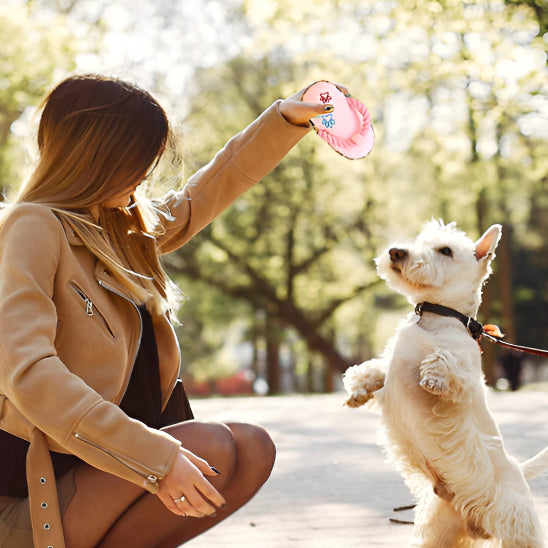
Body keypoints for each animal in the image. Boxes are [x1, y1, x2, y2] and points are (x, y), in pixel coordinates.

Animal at [344, 222, 544, 548]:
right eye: (420, 241)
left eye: (446, 250)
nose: (395, 252)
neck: (434, 315)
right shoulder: (390, 366)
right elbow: (375, 368)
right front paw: (357, 392)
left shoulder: (466, 374)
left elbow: (444, 359)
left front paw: (432, 379)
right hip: (439, 530)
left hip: (516, 522)